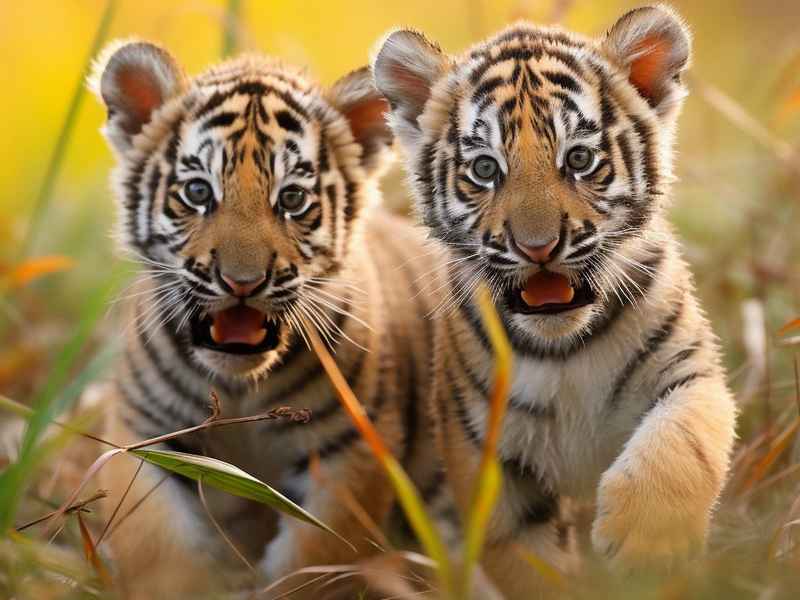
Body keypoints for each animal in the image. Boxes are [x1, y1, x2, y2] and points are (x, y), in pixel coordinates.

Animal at [89, 40, 445, 598]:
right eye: (197, 192)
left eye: (292, 199)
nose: (242, 281)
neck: (238, 387)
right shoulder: (145, 436)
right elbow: (161, 552)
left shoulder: (347, 454)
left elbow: (312, 561)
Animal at [373, 5, 738, 597]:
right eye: (485, 169)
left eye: (580, 159)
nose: (538, 247)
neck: (564, 351)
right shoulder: (487, 457)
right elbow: (527, 564)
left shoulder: (688, 371)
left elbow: (682, 440)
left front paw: (646, 544)